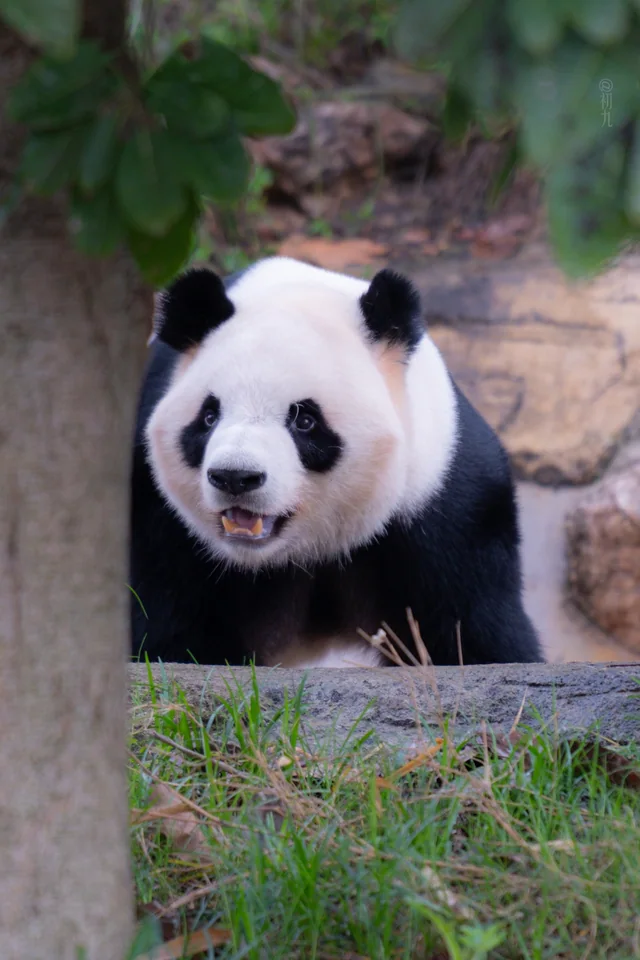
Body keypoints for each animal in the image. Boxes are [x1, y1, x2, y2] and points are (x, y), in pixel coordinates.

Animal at [130, 256, 542, 668]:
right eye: (209, 416)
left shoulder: (443, 507)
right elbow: (169, 621)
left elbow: (473, 626)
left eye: (304, 420)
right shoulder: (159, 516)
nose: (235, 477)